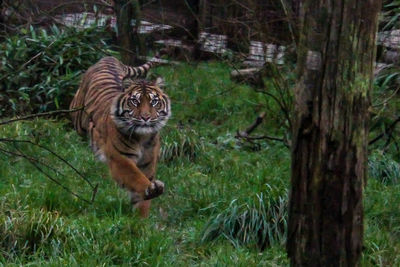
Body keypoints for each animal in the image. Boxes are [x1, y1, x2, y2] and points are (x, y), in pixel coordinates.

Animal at [70, 56, 170, 218]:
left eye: (154, 102)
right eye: (135, 101)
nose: (146, 117)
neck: (142, 138)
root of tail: (108, 57)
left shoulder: (148, 162)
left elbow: (143, 197)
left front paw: (140, 220)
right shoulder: (120, 158)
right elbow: (136, 177)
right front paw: (152, 189)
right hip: (76, 115)